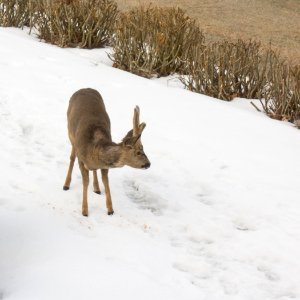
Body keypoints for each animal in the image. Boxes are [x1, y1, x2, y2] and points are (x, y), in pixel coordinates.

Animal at [62, 88, 150, 217]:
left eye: (144, 148)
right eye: (138, 152)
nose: (149, 164)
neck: (94, 149)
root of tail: (84, 88)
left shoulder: (104, 166)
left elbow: (106, 182)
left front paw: (110, 210)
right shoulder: (81, 158)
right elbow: (85, 182)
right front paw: (85, 211)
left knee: (94, 171)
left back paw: (97, 188)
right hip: (70, 133)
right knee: (72, 157)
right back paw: (66, 185)